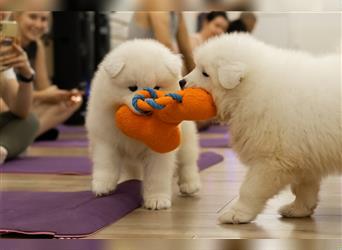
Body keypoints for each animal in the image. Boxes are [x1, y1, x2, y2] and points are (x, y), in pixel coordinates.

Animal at [85, 39, 202, 209]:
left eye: (157, 87)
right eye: (132, 88)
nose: (146, 107)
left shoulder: (160, 149)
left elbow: (157, 175)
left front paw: (157, 200)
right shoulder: (106, 140)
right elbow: (106, 163)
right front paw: (102, 186)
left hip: (186, 138)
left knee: (187, 162)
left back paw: (190, 185)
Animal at [183, 32, 340, 223]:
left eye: (205, 73)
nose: (181, 82)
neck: (250, 90)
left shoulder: (271, 159)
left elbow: (249, 189)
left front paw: (237, 213)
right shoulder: (303, 155)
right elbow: (303, 187)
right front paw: (298, 209)